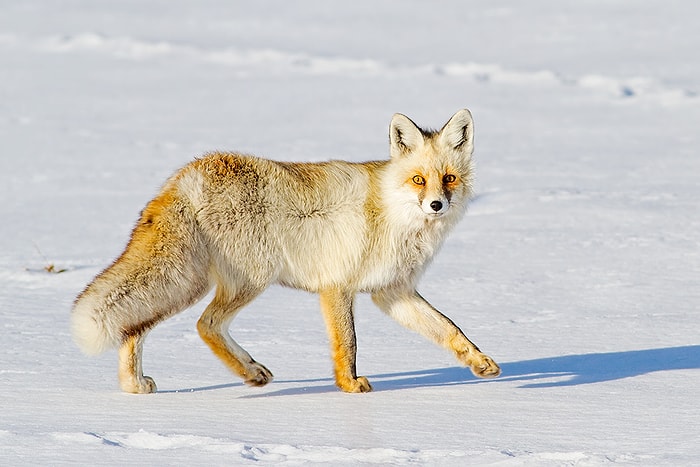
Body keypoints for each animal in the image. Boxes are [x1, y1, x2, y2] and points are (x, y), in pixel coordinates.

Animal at [71, 109, 500, 394]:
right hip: (240, 280)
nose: (436, 206)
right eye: (418, 180)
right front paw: (349, 386)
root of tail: (186, 175)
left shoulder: (392, 292)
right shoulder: (337, 287)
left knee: (137, 328)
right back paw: (246, 373)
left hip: (197, 282)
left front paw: (480, 363)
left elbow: (450, 329)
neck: (393, 217)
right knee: (204, 325)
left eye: (449, 178)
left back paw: (140, 384)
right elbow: (348, 344)